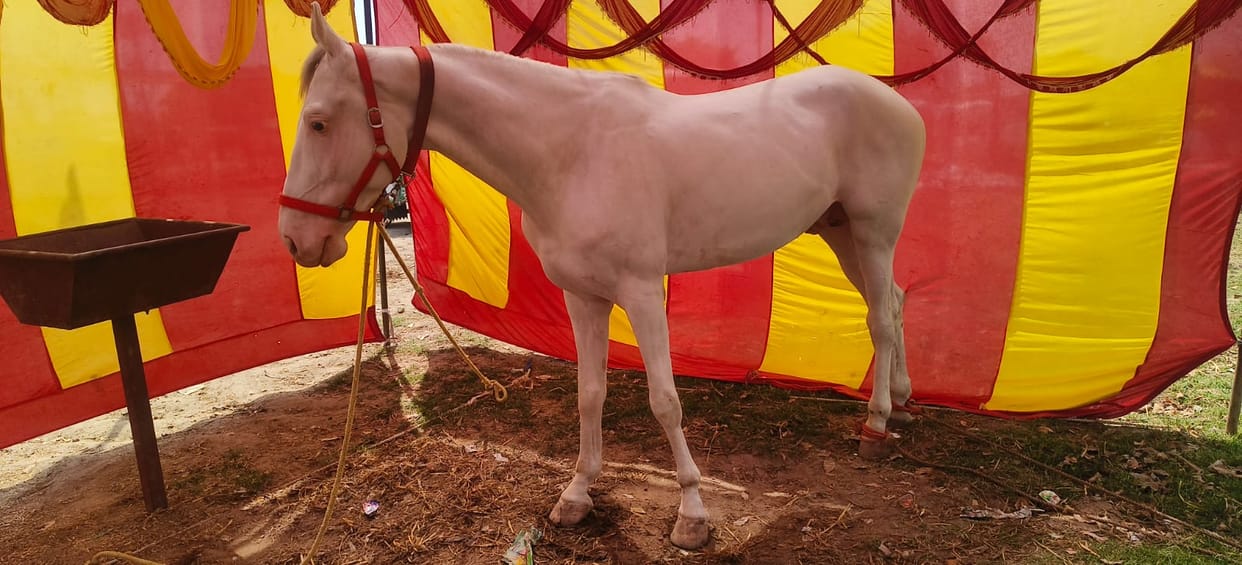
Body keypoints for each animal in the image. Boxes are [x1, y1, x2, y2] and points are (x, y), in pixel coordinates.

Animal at [278, 3, 925, 550]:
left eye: (318, 123)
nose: (296, 239)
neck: (570, 153)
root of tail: (898, 104)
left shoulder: (640, 292)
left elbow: (665, 401)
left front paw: (692, 514)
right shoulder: (582, 296)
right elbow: (590, 396)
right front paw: (576, 495)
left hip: (873, 230)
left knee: (880, 314)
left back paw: (875, 424)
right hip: (840, 229)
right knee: (894, 301)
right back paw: (901, 404)